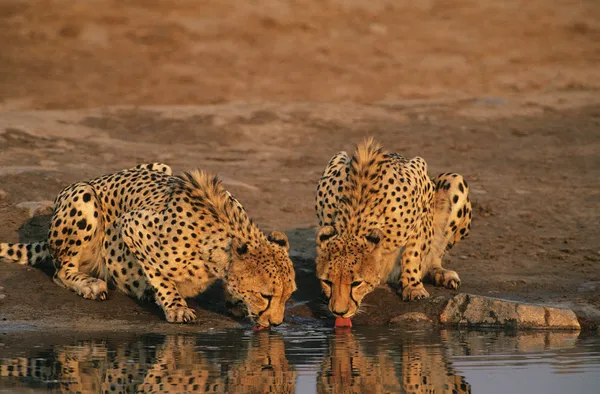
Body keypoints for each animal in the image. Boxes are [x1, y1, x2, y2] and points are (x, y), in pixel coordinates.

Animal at [0, 163, 296, 326]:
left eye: (288, 296)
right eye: (266, 296)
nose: (276, 325)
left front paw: (235, 301)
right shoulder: (131, 226)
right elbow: (160, 276)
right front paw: (175, 307)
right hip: (83, 195)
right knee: (60, 272)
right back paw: (90, 285)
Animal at [314, 138, 474, 318]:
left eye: (357, 283)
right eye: (327, 281)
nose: (339, 312)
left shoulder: (422, 186)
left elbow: (413, 252)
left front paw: (413, 286)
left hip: (455, 181)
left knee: (435, 253)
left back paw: (439, 272)